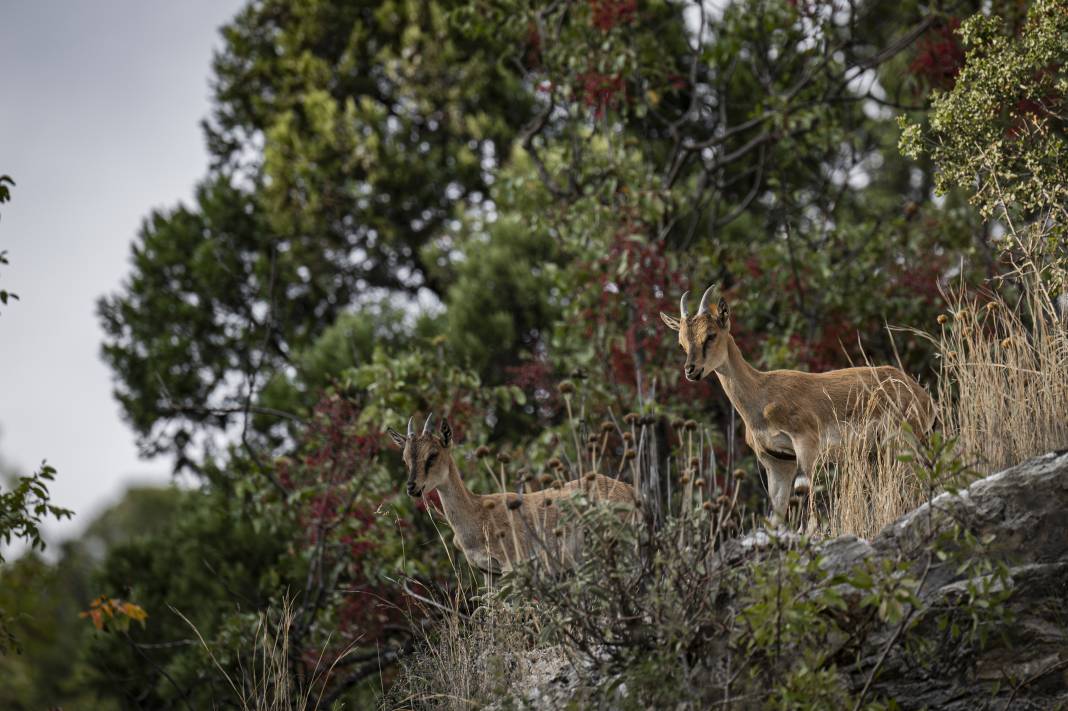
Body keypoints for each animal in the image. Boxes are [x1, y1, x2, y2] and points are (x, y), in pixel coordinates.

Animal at [388, 412, 636, 572]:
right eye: (405, 458)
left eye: (432, 454)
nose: (412, 487)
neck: (477, 512)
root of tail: (632, 492)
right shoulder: (488, 571)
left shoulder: (511, 564)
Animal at [657, 281, 935, 520]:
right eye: (682, 341)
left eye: (711, 334)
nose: (691, 371)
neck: (762, 395)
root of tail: (922, 395)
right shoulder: (778, 462)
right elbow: (777, 513)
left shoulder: (806, 446)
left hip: (902, 443)